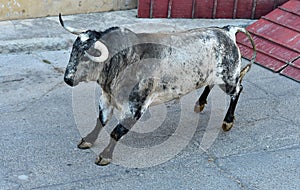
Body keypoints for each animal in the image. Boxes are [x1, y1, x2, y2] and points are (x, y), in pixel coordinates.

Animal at [59, 13, 256, 166]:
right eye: (73, 50)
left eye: (89, 56)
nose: (67, 78)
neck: (123, 61)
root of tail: (226, 30)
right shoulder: (106, 98)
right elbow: (101, 121)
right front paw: (88, 140)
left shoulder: (135, 108)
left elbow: (116, 132)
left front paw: (105, 156)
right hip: (212, 75)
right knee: (210, 84)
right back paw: (200, 103)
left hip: (228, 79)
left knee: (238, 89)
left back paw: (228, 121)